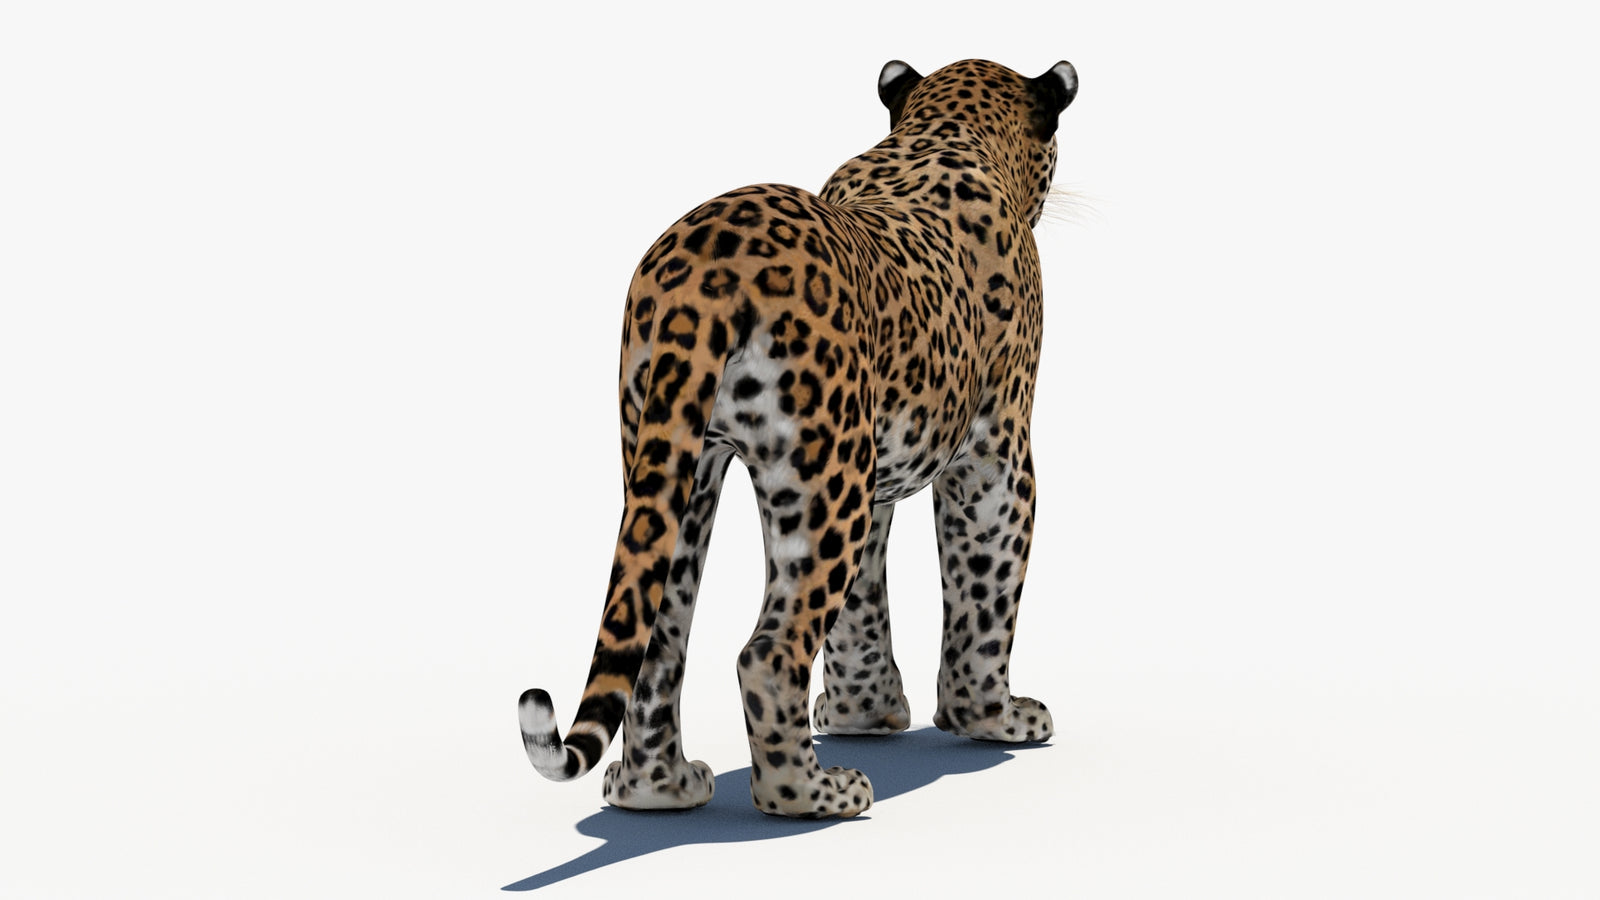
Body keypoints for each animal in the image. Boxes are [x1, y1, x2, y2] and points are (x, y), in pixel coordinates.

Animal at [519, 58, 1078, 819]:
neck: (947, 130)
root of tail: (704, 271)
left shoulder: (874, 475)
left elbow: (863, 605)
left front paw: (862, 712)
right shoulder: (993, 457)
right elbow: (986, 589)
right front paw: (992, 718)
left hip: (677, 464)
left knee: (657, 637)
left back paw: (658, 789)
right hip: (820, 482)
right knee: (766, 651)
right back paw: (812, 794)